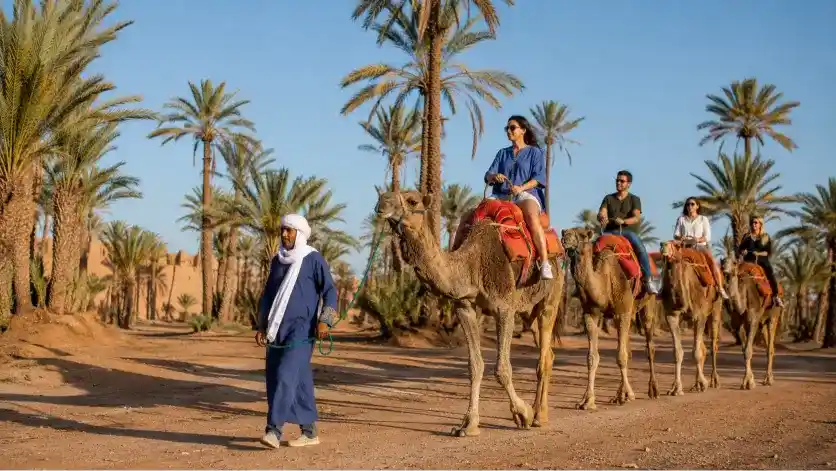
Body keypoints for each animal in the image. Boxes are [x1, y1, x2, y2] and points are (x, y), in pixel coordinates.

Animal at [375, 190, 564, 437]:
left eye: (412, 201)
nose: (382, 203)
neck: (471, 266)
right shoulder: (464, 307)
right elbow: (475, 366)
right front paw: (469, 425)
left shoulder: (504, 307)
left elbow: (502, 368)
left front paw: (523, 414)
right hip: (526, 310)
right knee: (547, 352)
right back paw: (540, 411)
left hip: (551, 297)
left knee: (544, 355)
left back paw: (539, 416)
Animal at [560, 227, 661, 409]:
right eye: (565, 232)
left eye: (582, 234)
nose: (565, 238)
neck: (604, 280)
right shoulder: (591, 313)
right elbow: (592, 357)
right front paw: (587, 400)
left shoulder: (622, 311)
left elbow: (621, 357)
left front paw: (627, 395)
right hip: (629, 311)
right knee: (628, 349)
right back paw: (621, 394)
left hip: (648, 303)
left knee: (649, 346)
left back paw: (652, 390)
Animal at [658, 240, 723, 395]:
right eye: (662, 243)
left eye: (677, 245)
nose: (663, 245)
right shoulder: (671, 316)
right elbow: (678, 352)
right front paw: (676, 388)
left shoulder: (700, 316)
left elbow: (696, 352)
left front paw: (704, 383)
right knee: (704, 347)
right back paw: (696, 384)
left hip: (716, 309)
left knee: (713, 345)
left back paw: (714, 380)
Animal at [720, 257, 783, 389]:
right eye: (722, 261)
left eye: (734, 263)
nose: (724, 269)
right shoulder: (737, 325)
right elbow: (744, 350)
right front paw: (749, 380)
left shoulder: (753, 320)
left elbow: (748, 350)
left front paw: (748, 383)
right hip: (762, 322)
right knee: (767, 345)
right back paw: (767, 378)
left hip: (774, 316)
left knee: (770, 347)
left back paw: (768, 380)